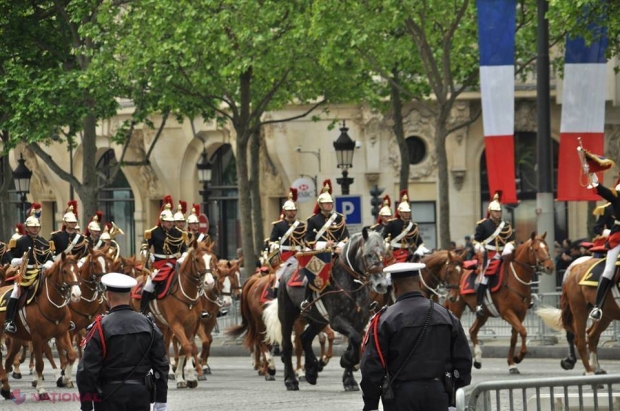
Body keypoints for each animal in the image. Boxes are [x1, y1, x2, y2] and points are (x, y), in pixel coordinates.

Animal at [0, 254, 81, 400]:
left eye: (78, 271)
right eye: (64, 271)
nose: (76, 295)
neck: (51, 305)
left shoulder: (61, 334)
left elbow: (72, 355)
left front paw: (64, 379)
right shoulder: (37, 338)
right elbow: (40, 364)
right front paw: (42, 390)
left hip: (17, 339)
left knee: (8, 360)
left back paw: (6, 389)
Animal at [132, 240, 217, 388]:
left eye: (211, 259)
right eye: (197, 259)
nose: (209, 282)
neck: (187, 294)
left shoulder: (191, 326)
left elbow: (187, 348)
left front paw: (185, 377)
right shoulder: (176, 325)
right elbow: (187, 347)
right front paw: (186, 377)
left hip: (164, 326)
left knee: (165, 344)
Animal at [266, 229, 388, 392]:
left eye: (384, 253)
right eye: (368, 254)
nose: (381, 284)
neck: (350, 284)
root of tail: (287, 270)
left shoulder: (359, 321)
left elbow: (355, 341)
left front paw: (349, 378)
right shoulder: (337, 320)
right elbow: (356, 339)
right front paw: (346, 360)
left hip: (318, 320)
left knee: (305, 338)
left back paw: (312, 370)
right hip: (287, 315)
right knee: (287, 345)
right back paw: (291, 380)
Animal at [448, 233, 556, 374]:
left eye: (547, 248)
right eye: (536, 249)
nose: (550, 267)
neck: (515, 280)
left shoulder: (520, 314)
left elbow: (514, 338)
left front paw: (512, 364)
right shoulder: (507, 313)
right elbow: (523, 331)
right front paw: (519, 357)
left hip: (483, 315)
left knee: (472, 331)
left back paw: (478, 360)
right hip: (456, 308)